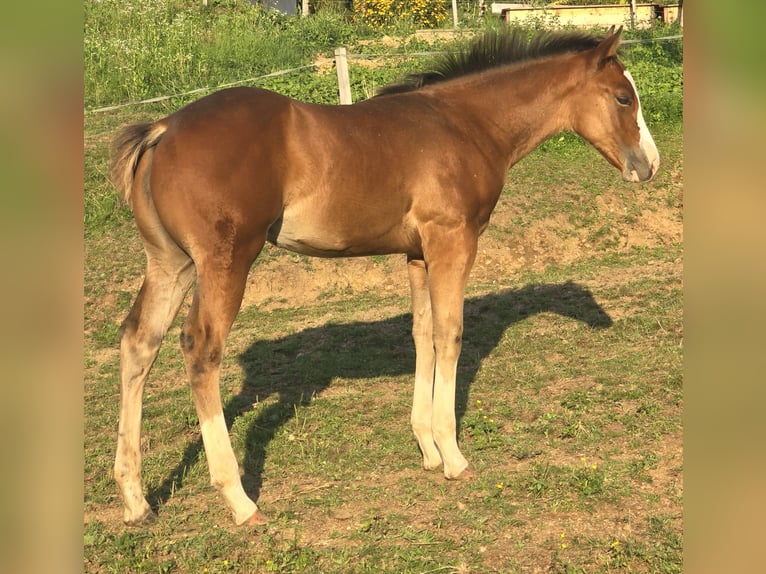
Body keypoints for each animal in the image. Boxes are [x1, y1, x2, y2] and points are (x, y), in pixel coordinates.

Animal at [110, 26, 659, 527]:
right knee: (200, 348)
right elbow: (450, 333)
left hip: (171, 263)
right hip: (225, 260)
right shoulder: (452, 240)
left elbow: (422, 334)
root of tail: (163, 129)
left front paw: (428, 448)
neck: (467, 124)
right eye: (623, 97)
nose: (649, 166)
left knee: (139, 341)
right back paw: (240, 501)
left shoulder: (417, 254)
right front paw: (453, 456)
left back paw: (136, 501)